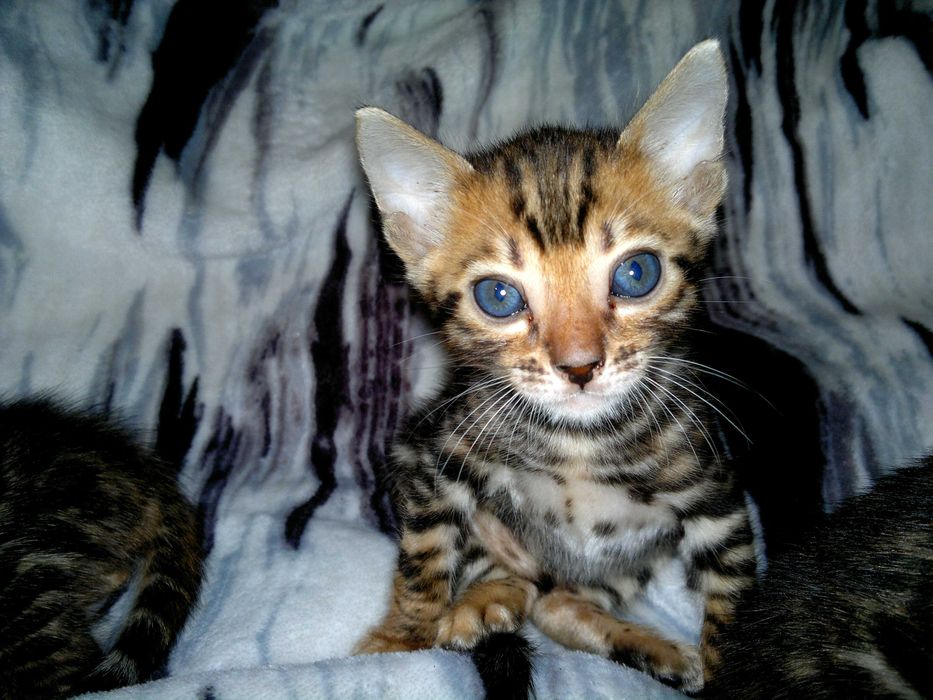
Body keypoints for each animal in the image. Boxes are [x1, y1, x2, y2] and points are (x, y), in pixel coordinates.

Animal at [352, 39, 755, 696]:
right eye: (498, 297)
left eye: (636, 273)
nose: (580, 365)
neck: (578, 445)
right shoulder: (440, 456)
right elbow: (426, 555)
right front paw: (401, 639)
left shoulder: (713, 492)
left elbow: (737, 601)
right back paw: (483, 601)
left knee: (558, 603)